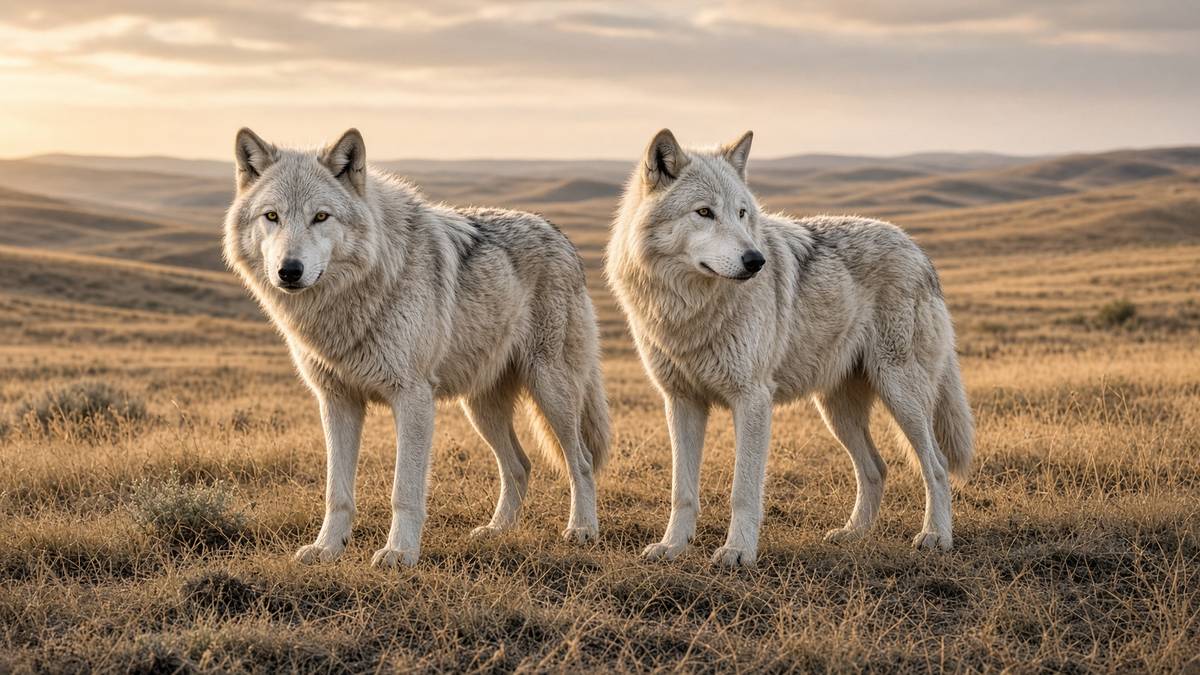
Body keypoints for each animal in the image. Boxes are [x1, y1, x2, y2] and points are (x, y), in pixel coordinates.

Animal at [223, 128, 610, 567]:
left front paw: (399, 553)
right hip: (481, 408)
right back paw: (496, 531)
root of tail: (559, 233)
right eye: (271, 216)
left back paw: (582, 529)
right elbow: (336, 492)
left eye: (320, 217)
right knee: (520, 466)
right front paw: (327, 549)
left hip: (551, 391)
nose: (289, 271)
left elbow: (404, 491)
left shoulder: (412, 398)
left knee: (580, 461)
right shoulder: (337, 401)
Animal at [605, 129, 974, 567]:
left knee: (936, 465)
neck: (690, 309)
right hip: (837, 412)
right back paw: (853, 534)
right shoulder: (681, 402)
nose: (755, 260)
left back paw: (936, 535)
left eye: (742, 213)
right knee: (876, 468)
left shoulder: (752, 399)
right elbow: (683, 491)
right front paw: (672, 547)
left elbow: (743, 490)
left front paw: (737, 552)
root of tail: (918, 250)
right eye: (704, 212)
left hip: (901, 396)